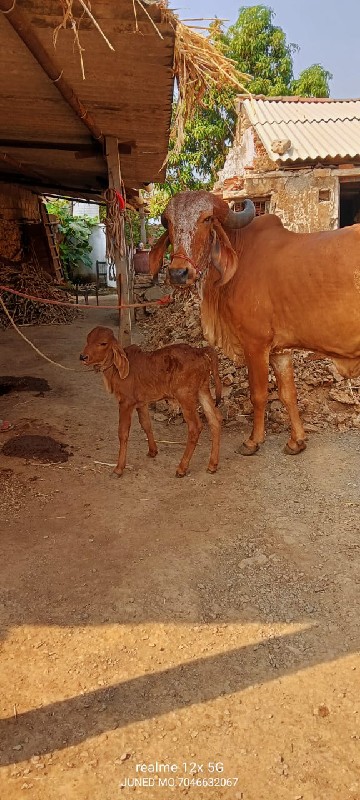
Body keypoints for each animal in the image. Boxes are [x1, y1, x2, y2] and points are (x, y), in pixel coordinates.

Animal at [80, 328, 222, 478]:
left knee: (195, 427)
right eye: (88, 339)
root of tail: (199, 351)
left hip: (185, 396)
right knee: (215, 420)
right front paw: (153, 451)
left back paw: (182, 468)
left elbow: (123, 433)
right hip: (203, 390)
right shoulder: (141, 403)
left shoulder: (126, 403)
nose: (83, 357)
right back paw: (212, 465)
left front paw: (119, 468)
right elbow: (146, 424)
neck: (116, 370)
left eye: (103, 343)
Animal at [149, 191, 360, 456]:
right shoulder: (280, 350)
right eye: (168, 222)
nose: (178, 273)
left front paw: (253, 440)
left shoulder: (255, 344)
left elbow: (258, 395)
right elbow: (288, 394)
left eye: (207, 219)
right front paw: (297, 441)